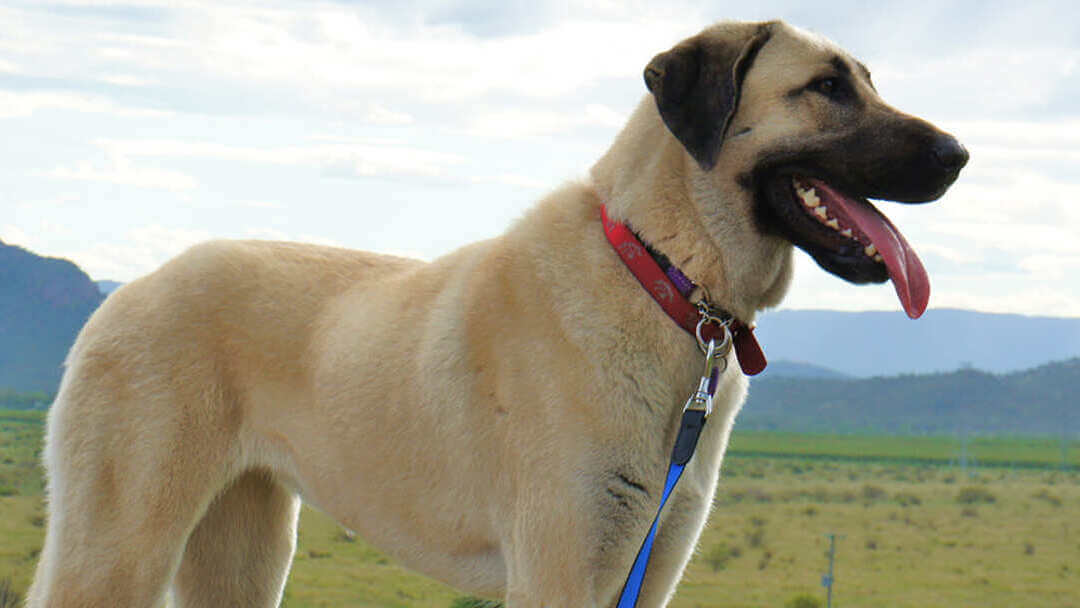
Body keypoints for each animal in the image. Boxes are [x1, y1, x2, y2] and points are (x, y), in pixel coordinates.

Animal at [29, 19, 967, 608]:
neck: (663, 275)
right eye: (825, 87)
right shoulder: (560, 574)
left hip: (243, 547)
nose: (961, 153)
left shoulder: (646, 569)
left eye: (867, 82)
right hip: (119, 545)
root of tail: (131, 289)